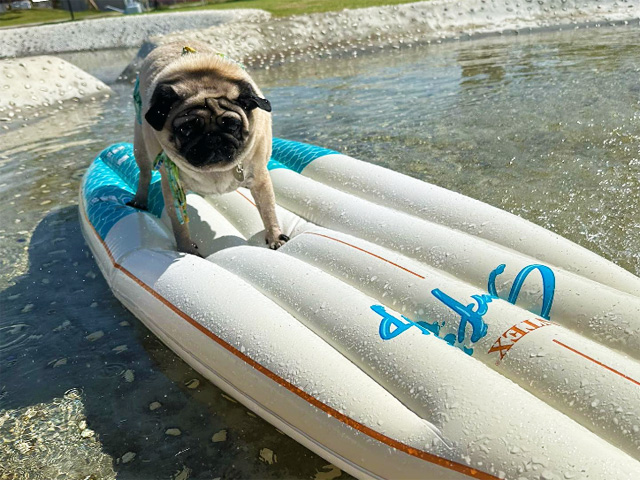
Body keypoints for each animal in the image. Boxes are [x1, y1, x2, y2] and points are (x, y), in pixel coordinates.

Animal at [127, 41, 288, 255]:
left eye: (232, 125)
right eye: (186, 129)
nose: (213, 139)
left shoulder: (260, 178)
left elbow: (268, 210)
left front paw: (275, 237)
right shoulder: (172, 188)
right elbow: (180, 225)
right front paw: (186, 249)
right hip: (141, 149)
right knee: (144, 175)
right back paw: (139, 200)